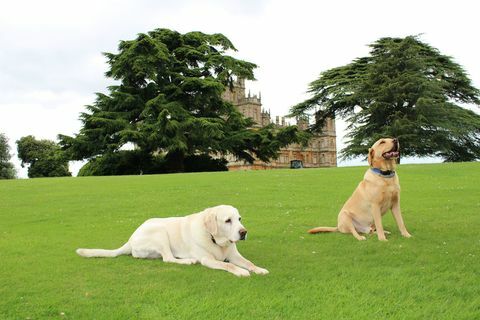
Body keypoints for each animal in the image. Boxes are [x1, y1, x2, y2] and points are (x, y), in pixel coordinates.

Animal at [77, 205, 268, 278]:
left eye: (239, 219)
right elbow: (227, 265)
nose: (243, 232)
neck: (215, 240)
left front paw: (259, 269)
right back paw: (188, 261)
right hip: (160, 232)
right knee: (168, 259)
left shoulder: (235, 255)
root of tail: (130, 239)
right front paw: (240, 271)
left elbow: (248, 262)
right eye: (228, 220)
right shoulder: (207, 260)